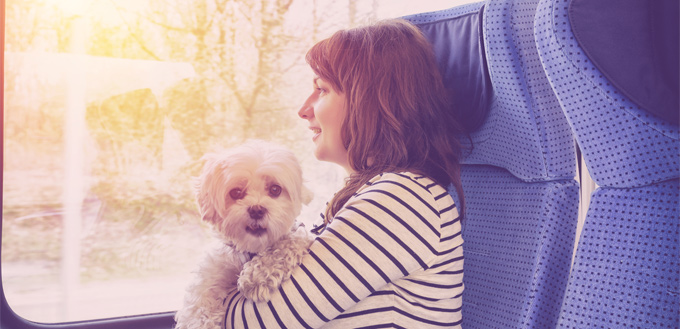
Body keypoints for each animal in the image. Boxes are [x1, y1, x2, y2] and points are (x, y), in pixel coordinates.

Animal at [175, 140, 314, 328]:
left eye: (275, 189)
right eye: (236, 192)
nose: (256, 210)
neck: (251, 248)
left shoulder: (298, 235)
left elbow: (287, 243)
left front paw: (258, 275)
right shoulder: (211, 274)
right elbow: (196, 308)